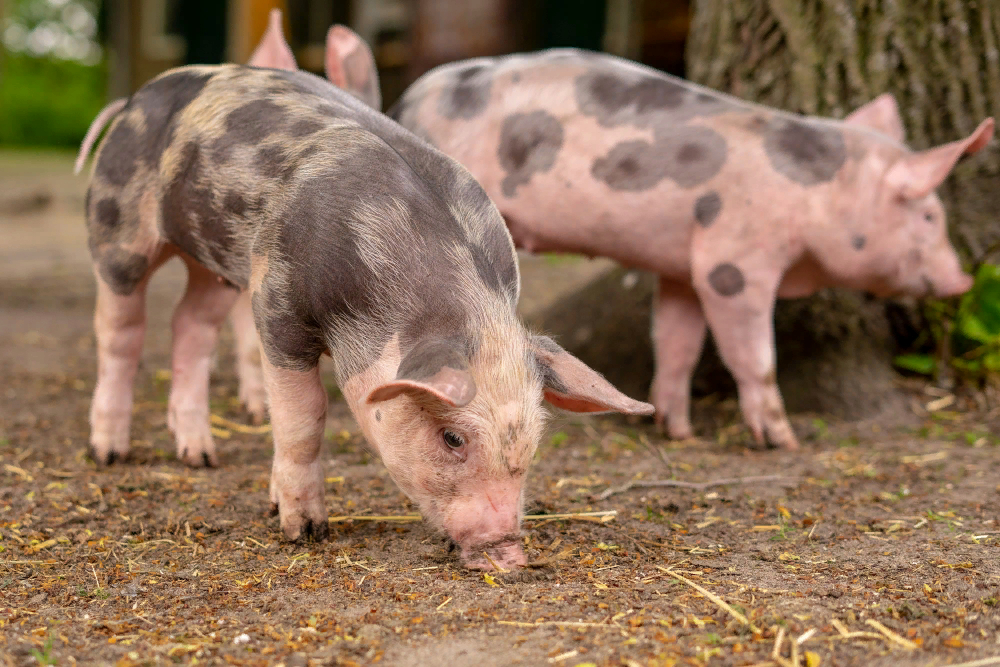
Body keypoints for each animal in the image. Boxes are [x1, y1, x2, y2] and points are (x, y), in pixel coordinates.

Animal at [73, 60, 653, 569]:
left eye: (533, 437)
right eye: (452, 438)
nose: (509, 554)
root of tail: (133, 101)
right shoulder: (275, 304)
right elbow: (303, 417)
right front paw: (303, 530)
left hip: (214, 263)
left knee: (189, 325)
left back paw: (200, 456)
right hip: (117, 231)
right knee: (119, 332)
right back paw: (109, 453)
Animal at [386, 49, 994, 450]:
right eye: (929, 215)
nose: (964, 279)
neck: (818, 193)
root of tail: (409, 100)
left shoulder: (681, 267)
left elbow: (678, 342)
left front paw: (675, 429)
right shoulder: (733, 262)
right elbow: (755, 356)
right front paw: (784, 441)